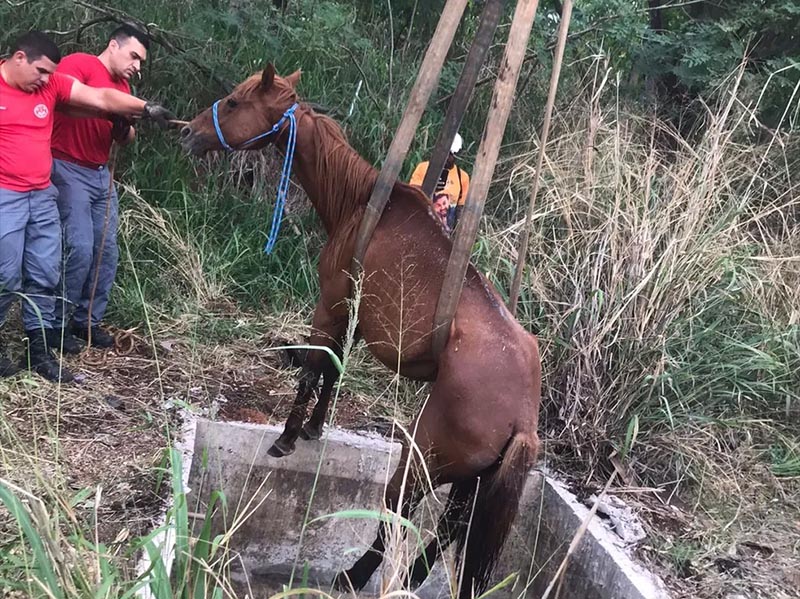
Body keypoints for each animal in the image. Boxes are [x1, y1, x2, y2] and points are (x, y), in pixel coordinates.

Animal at [181, 65, 544, 599]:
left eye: (232, 103)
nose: (188, 131)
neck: (364, 202)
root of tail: (523, 417)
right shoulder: (350, 317)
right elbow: (334, 369)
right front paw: (314, 428)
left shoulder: (329, 305)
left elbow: (313, 366)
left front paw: (288, 436)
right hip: (473, 481)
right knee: (450, 527)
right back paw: (408, 578)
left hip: (421, 462)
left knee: (400, 515)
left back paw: (353, 576)